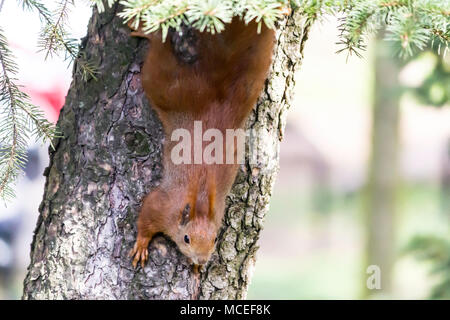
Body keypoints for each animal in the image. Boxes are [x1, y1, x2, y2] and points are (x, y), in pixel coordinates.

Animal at [126, 17, 274, 268]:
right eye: (186, 238)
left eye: (215, 239)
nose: (202, 260)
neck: (202, 205)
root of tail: (217, 102)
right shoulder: (162, 205)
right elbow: (145, 217)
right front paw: (142, 244)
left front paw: (195, 268)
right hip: (164, 85)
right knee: (159, 53)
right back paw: (147, 31)